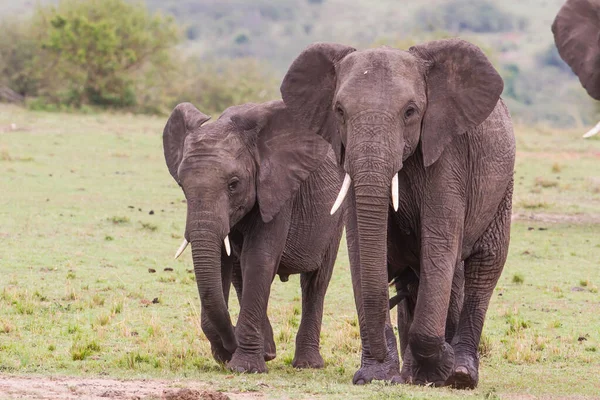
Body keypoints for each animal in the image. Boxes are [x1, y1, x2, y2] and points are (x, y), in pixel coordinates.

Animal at [163, 99, 346, 372]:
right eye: (182, 186)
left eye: (233, 184)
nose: (229, 345)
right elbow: (223, 262)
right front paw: (234, 355)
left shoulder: (278, 190)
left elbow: (260, 258)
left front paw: (244, 367)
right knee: (240, 274)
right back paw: (268, 351)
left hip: (337, 212)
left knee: (316, 281)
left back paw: (307, 365)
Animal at [282, 39, 516, 390]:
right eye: (339, 111)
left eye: (410, 112)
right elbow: (360, 250)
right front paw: (376, 376)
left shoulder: (447, 155)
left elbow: (440, 243)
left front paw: (441, 368)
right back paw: (415, 374)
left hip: (503, 188)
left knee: (483, 267)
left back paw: (460, 375)